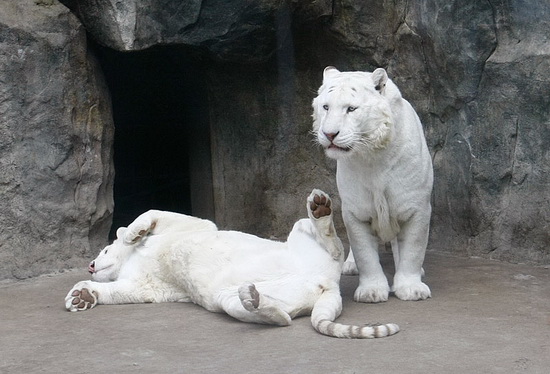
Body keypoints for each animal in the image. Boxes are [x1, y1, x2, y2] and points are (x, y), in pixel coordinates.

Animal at [66, 190, 402, 338]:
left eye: (104, 249)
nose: (91, 265)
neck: (132, 261)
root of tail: (326, 283)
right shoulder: (146, 286)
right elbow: (121, 290)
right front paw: (81, 296)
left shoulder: (196, 226)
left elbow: (154, 213)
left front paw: (133, 232)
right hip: (231, 296)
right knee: (281, 317)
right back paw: (256, 300)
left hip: (300, 233)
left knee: (333, 246)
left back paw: (319, 208)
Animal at [312, 65, 434, 302]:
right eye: (326, 107)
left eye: (351, 109)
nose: (329, 134)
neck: (372, 156)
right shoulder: (356, 210)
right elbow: (364, 253)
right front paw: (372, 291)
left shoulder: (415, 206)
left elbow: (413, 248)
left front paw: (411, 289)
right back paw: (350, 265)